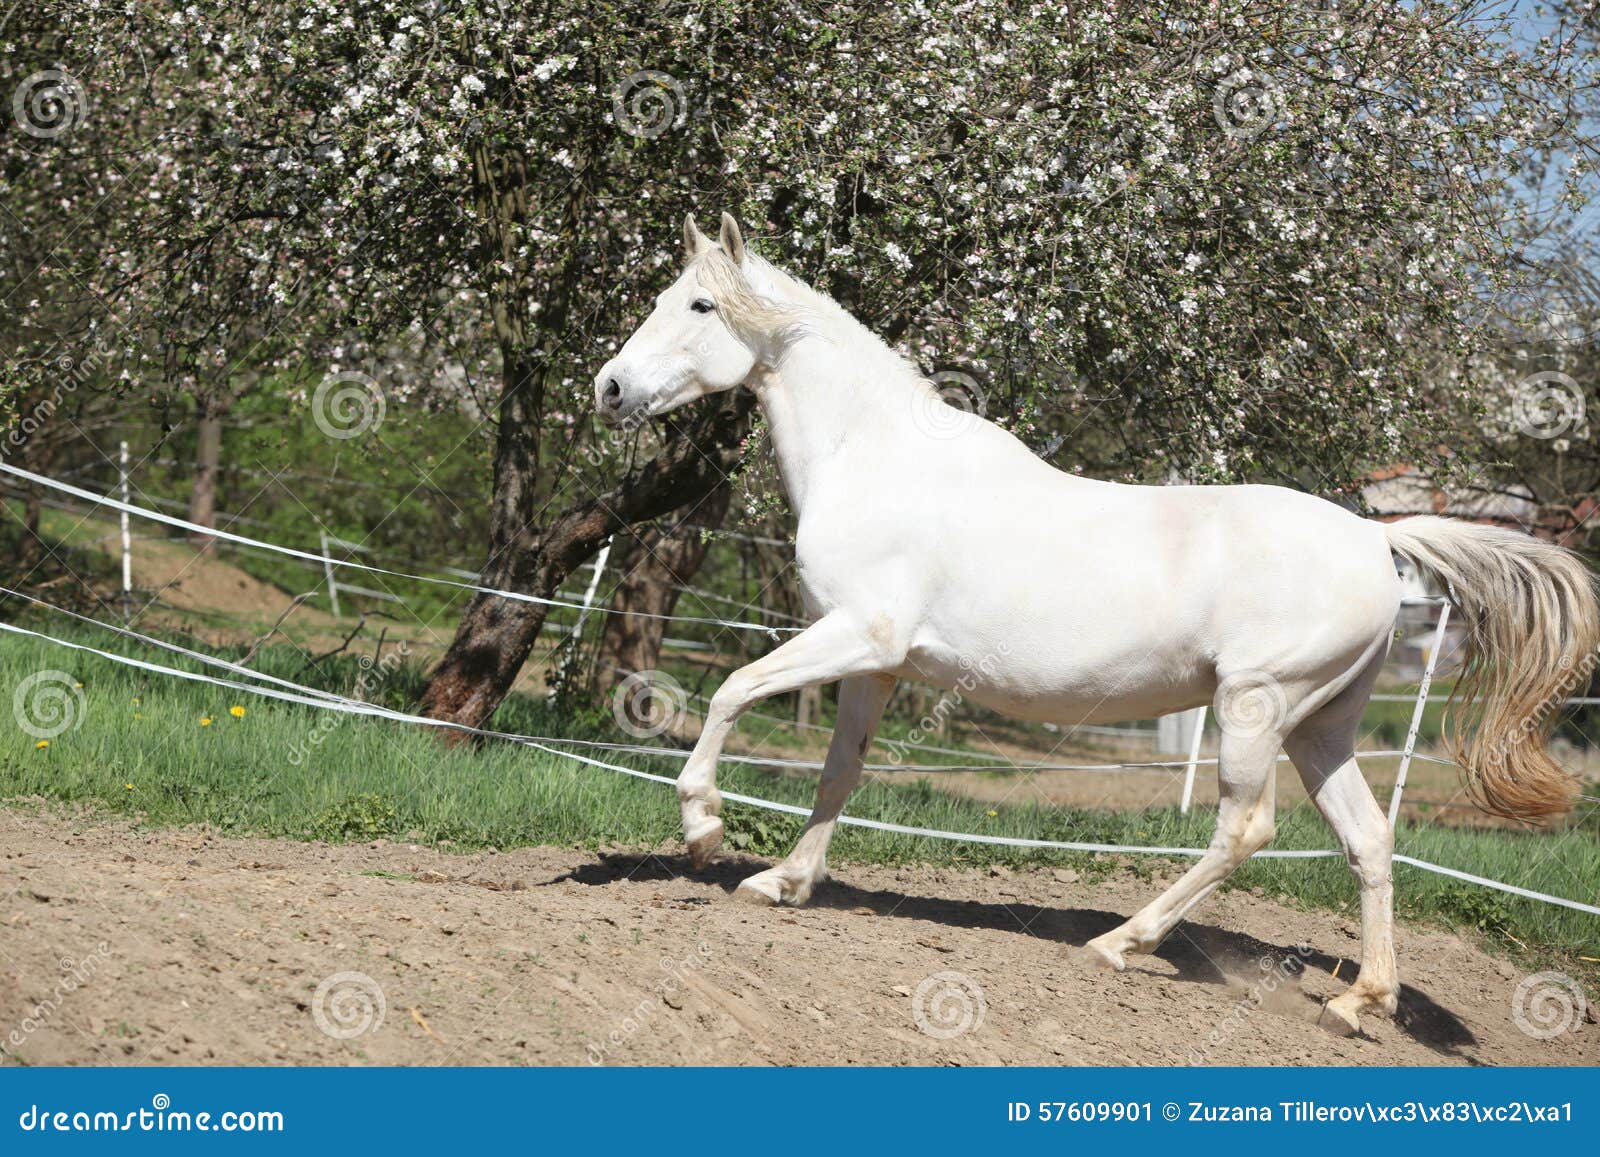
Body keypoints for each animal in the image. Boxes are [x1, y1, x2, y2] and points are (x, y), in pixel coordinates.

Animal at [593, 212, 1600, 1035]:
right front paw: (784, 883)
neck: (878, 457)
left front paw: (705, 827)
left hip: (1254, 707)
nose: (609, 388)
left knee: (1246, 829)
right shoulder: (874, 665)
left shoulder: (859, 636)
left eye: (698, 303)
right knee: (1369, 839)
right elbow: (840, 769)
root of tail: (1375, 537)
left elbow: (731, 690)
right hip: (1322, 727)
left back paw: (1122, 942)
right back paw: (1360, 1001)